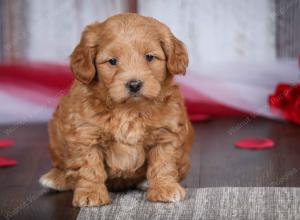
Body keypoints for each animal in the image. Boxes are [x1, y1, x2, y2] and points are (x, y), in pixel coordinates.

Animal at [39, 13, 193, 206]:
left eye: (149, 57)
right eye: (112, 61)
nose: (134, 84)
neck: (129, 109)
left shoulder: (166, 133)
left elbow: (163, 162)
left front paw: (165, 187)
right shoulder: (86, 134)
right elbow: (89, 166)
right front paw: (90, 192)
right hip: (56, 133)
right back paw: (56, 178)